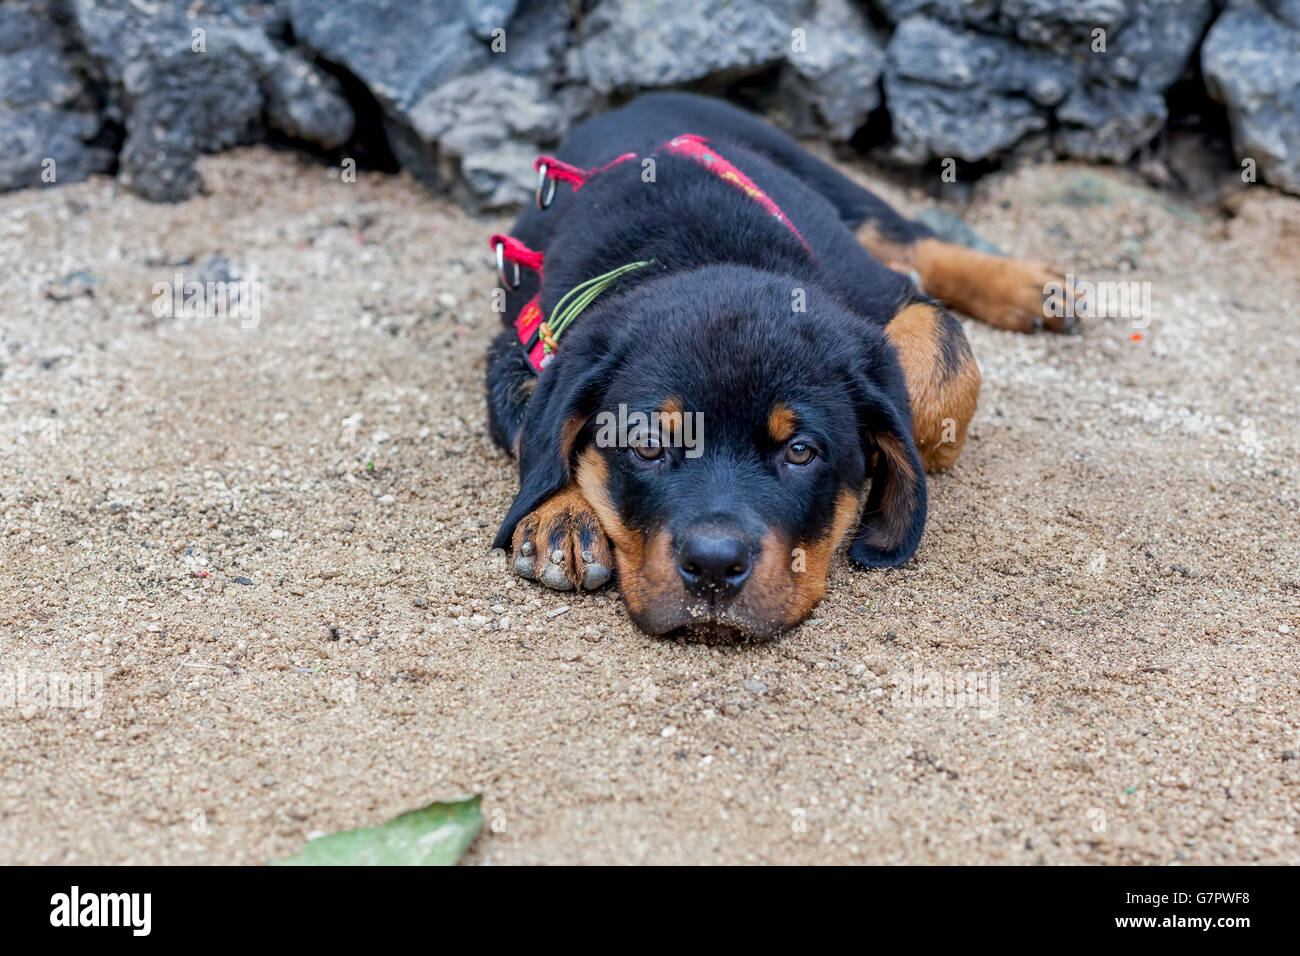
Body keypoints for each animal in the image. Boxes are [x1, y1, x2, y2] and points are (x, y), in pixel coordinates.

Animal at [483, 91, 1071, 642]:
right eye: (647, 446)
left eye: (800, 451)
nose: (714, 565)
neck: (696, 250)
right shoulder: (524, 344)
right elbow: (535, 431)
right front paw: (561, 512)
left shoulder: (888, 296)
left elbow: (938, 373)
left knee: (910, 239)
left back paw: (1032, 287)